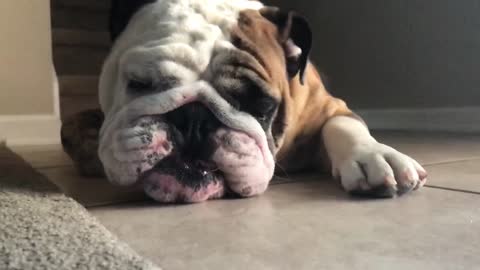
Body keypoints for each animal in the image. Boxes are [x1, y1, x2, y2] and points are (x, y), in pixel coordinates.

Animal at [61, 0, 428, 202]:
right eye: (139, 83)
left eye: (261, 105)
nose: (194, 119)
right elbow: (74, 128)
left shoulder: (328, 105)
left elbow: (342, 125)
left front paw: (375, 155)